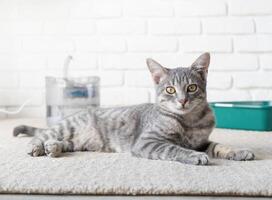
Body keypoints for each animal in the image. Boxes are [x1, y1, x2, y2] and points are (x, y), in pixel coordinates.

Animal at [12, 52, 255, 165]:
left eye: (192, 87)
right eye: (170, 90)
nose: (182, 100)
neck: (189, 122)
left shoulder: (202, 140)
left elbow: (219, 145)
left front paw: (237, 151)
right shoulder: (148, 141)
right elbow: (174, 148)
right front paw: (195, 156)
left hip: (76, 142)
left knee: (60, 142)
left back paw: (53, 148)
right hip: (65, 128)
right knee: (40, 136)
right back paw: (38, 147)